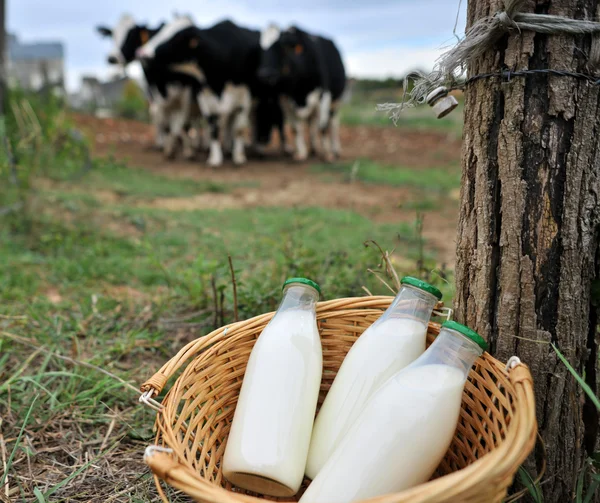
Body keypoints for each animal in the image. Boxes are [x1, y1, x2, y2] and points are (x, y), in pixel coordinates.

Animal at [95, 14, 205, 159]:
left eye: (131, 34)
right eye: (113, 35)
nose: (112, 58)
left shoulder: (187, 91)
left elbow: (182, 120)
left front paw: (186, 150)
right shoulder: (155, 90)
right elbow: (162, 117)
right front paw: (168, 146)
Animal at [137, 17, 288, 167]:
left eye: (177, 37)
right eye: (162, 30)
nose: (142, 53)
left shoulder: (243, 98)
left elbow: (238, 128)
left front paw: (238, 157)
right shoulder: (205, 97)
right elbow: (212, 127)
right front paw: (214, 158)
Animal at [255, 24, 344, 162]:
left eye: (281, 47)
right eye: (260, 49)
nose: (265, 74)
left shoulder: (324, 96)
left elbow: (323, 127)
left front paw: (327, 154)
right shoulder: (286, 101)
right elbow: (295, 129)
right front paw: (301, 153)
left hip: (336, 102)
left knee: (333, 123)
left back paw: (335, 149)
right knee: (312, 123)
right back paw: (313, 148)